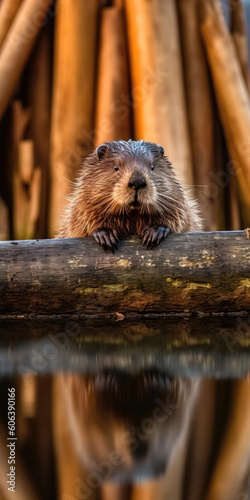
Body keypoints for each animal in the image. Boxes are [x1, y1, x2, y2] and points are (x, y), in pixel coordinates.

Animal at [59, 140, 203, 250]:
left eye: (152, 167)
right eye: (116, 167)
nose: (137, 182)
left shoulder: (176, 198)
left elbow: (179, 215)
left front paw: (154, 231)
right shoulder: (83, 201)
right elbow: (82, 217)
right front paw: (106, 234)